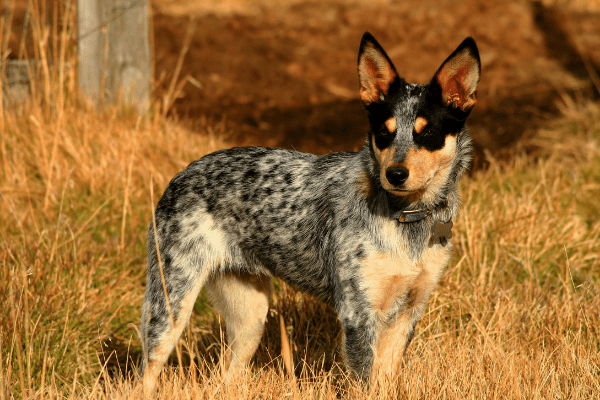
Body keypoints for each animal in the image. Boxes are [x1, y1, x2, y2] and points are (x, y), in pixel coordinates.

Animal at [139, 31, 478, 394]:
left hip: (250, 317)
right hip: (171, 303)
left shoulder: (409, 312)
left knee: (227, 375)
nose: (395, 174)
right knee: (145, 373)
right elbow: (365, 383)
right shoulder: (358, 314)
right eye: (383, 133)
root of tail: (181, 175)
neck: (408, 218)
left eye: (427, 133)